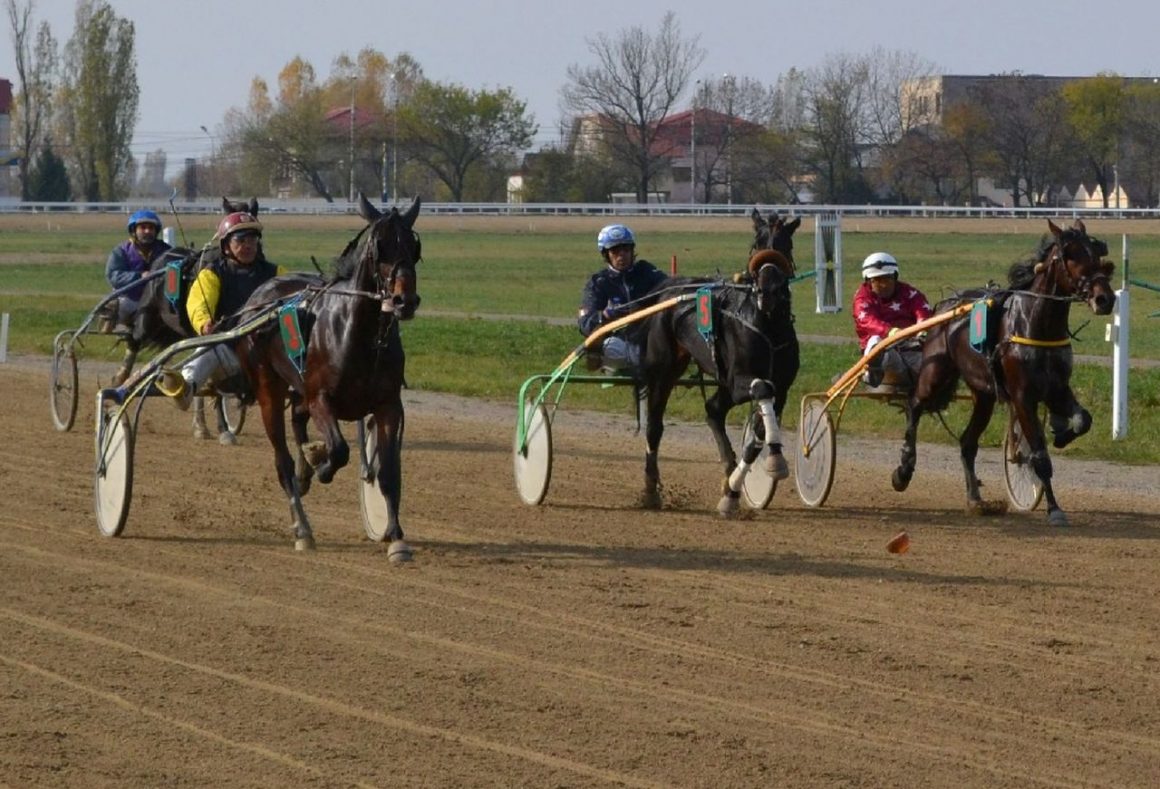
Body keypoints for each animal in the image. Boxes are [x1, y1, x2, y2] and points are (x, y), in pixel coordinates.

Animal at [233, 196, 419, 554]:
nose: (405, 300)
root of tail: (260, 296)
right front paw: (321, 468)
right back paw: (303, 527)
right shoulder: (321, 398)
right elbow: (339, 450)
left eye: (414, 247)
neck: (358, 335)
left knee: (298, 421)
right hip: (268, 388)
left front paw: (396, 536)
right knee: (282, 461)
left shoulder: (388, 404)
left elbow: (388, 471)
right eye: (378, 247)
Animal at [635, 249, 798, 515]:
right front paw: (775, 459)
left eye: (785, 244)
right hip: (664, 371)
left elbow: (757, 437)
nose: (768, 292)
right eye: (757, 246)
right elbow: (762, 388)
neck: (768, 325)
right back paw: (650, 490)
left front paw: (733, 490)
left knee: (713, 410)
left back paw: (729, 477)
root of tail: (671, 289)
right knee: (655, 426)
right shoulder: (738, 382)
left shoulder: (782, 389)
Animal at [886, 216, 1113, 524]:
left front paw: (1061, 433)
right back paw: (903, 470)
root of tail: (946, 305)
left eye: (1096, 252)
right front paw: (1054, 509)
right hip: (935, 373)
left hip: (984, 395)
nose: (1105, 299)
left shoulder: (1057, 389)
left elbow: (1082, 420)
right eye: (1070, 255)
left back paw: (975, 499)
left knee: (967, 443)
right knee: (915, 405)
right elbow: (1040, 455)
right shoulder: (1022, 396)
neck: (1035, 325)